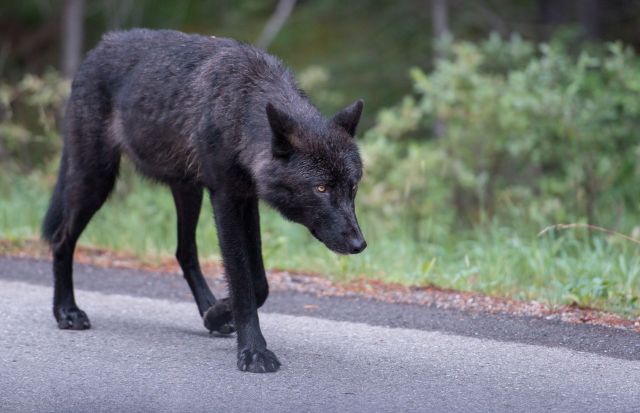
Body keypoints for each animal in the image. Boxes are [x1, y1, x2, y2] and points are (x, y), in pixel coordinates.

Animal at [42, 29, 366, 373]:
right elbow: (242, 281)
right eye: (321, 189)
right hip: (94, 181)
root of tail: (100, 46)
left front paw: (217, 314)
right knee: (61, 239)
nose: (359, 244)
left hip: (188, 191)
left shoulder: (246, 199)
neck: (240, 108)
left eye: (353, 187)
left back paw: (209, 310)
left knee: (184, 251)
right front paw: (253, 352)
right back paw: (66, 312)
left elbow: (259, 283)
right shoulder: (225, 199)